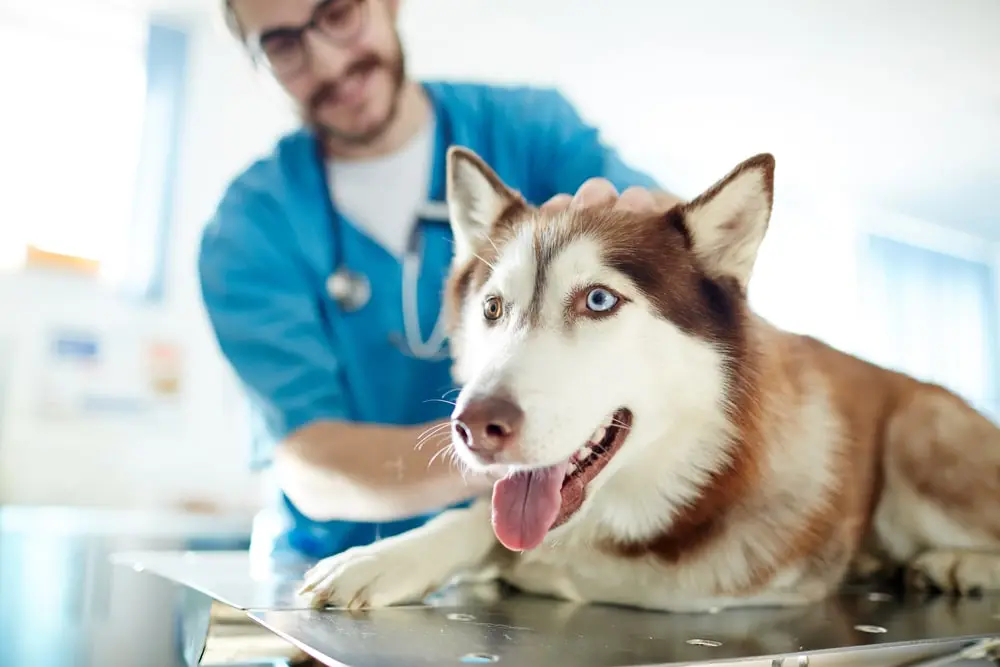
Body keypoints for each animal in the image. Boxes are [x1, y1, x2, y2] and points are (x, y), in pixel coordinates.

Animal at [296, 149, 1000, 612]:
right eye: (493, 308)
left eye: (599, 301)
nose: (473, 427)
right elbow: (481, 523)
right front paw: (385, 556)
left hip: (918, 434)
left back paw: (954, 563)